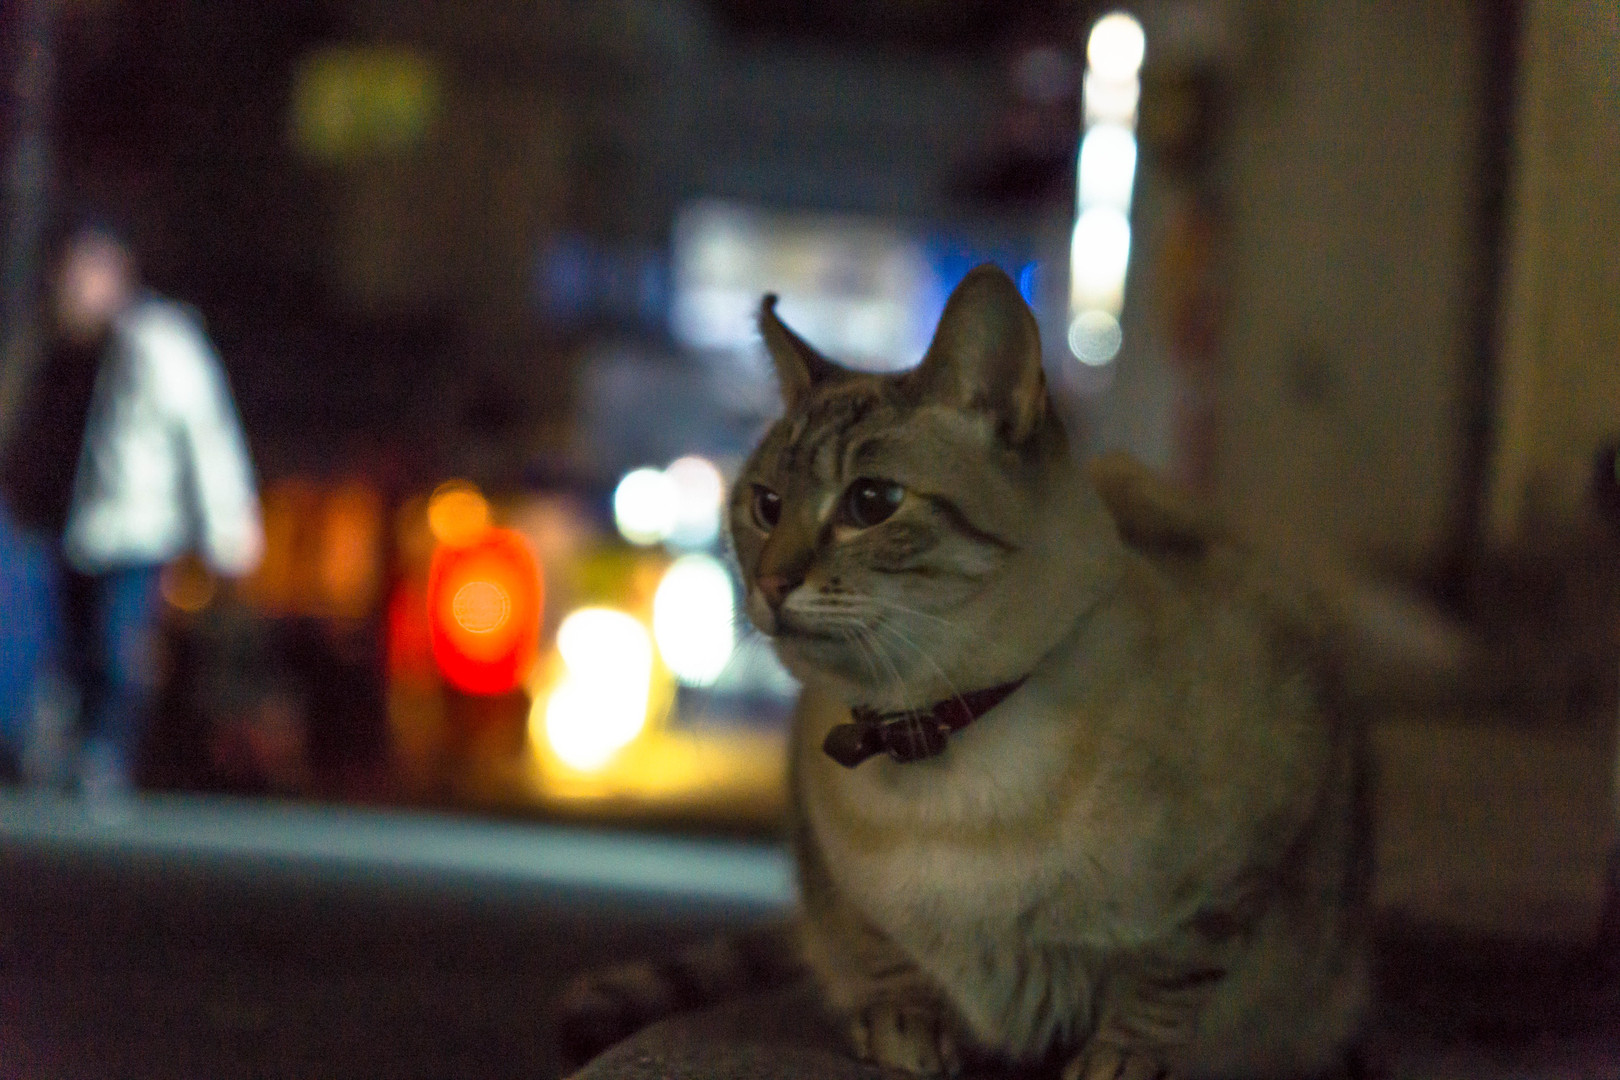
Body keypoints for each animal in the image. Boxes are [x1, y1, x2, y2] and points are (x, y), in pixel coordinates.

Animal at [559, 265, 1371, 1080]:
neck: (935, 725)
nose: (769, 584)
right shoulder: (836, 879)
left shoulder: (1247, 859)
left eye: (872, 502)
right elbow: (880, 955)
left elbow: (1167, 983)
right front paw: (906, 1029)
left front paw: (1118, 1060)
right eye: (765, 505)